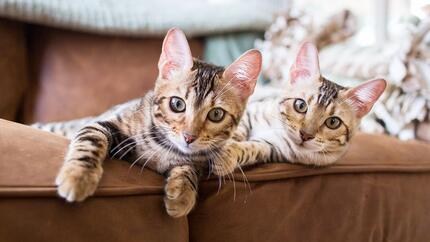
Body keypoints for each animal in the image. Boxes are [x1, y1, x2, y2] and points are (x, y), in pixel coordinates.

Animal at [34, 28, 262, 217]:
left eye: (216, 115)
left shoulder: (197, 159)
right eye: (177, 104)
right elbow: (91, 139)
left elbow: (189, 167)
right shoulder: (104, 123)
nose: (189, 137)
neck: (167, 149)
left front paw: (182, 193)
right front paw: (78, 176)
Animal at [211, 41, 386, 174]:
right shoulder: (251, 112)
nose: (305, 135)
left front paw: (226, 155)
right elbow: (239, 128)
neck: (279, 128)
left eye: (333, 122)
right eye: (300, 105)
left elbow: (251, 148)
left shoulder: (271, 148)